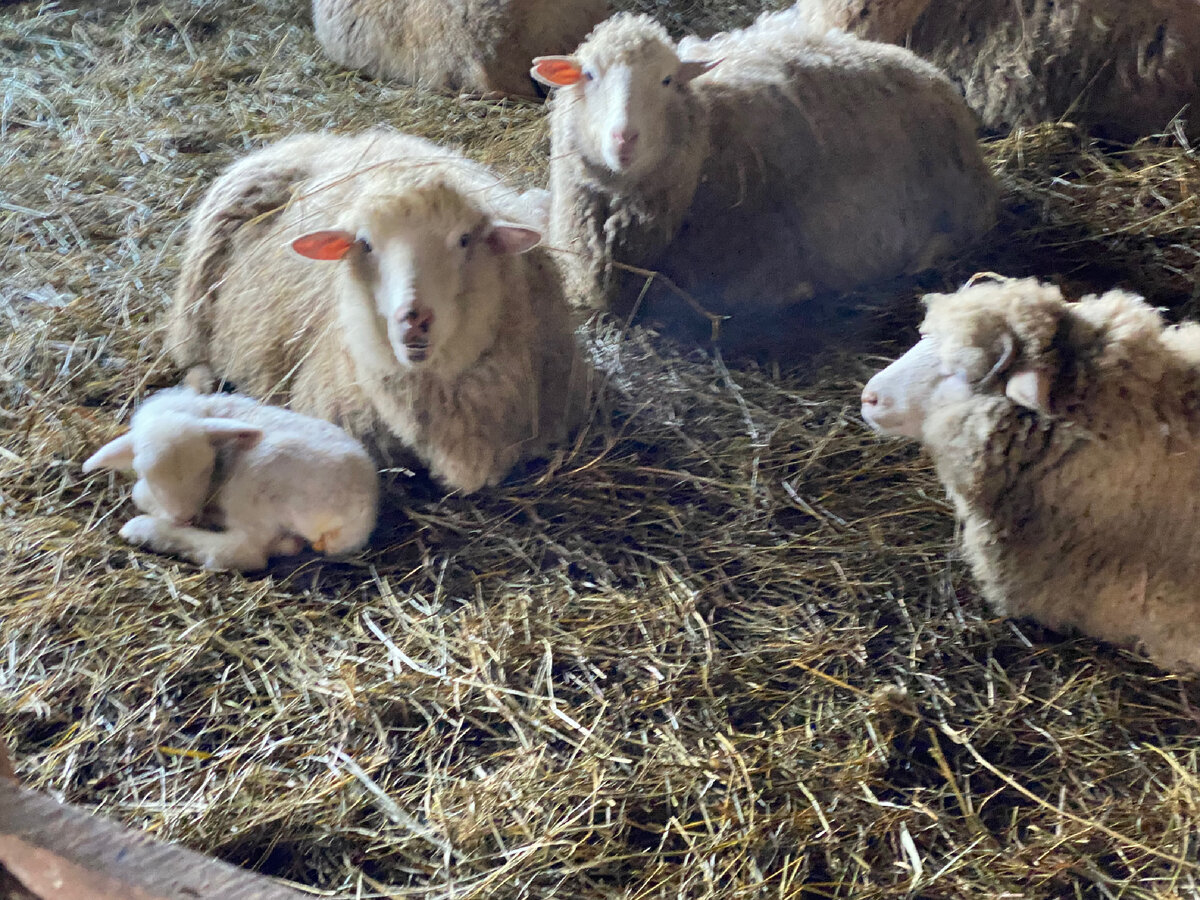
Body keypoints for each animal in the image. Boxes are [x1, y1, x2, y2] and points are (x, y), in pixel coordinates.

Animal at [82, 386, 379, 571]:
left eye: (206, 468)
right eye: (149, 474)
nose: (186, 517)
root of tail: (360, 510)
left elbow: (138, 494)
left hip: (255, 481)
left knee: (245, 552)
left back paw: (145, 530)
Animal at [167, 129, 591, 495]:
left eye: (464, 239)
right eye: (366, 244)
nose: (414, 318)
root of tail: (319, 140)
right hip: (194, 312)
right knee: (193, 357)